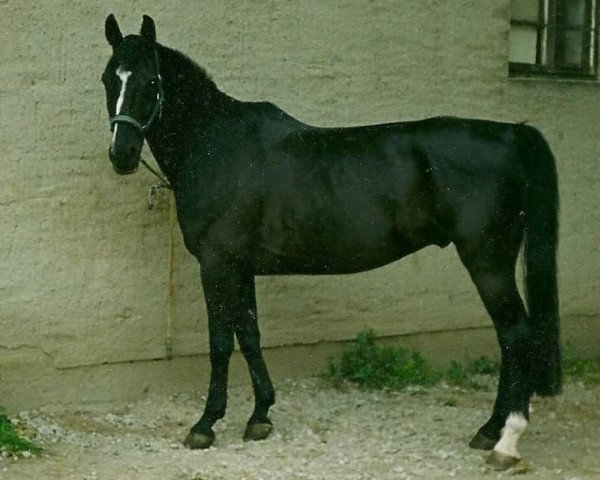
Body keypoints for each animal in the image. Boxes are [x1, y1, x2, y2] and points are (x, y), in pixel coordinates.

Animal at [104, 15, 564, 468]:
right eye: (110, 78)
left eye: (150, 81)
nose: (121, 154)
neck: (218, 145)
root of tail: (511, 135)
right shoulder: (242, 268)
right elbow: (249, 335)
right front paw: (260, 416)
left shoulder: (217, 264)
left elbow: (220, 343)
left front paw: (205, 424)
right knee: (509, 338)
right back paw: (489, 430)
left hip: (488, 262)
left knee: (517, 335)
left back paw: (507, 440)